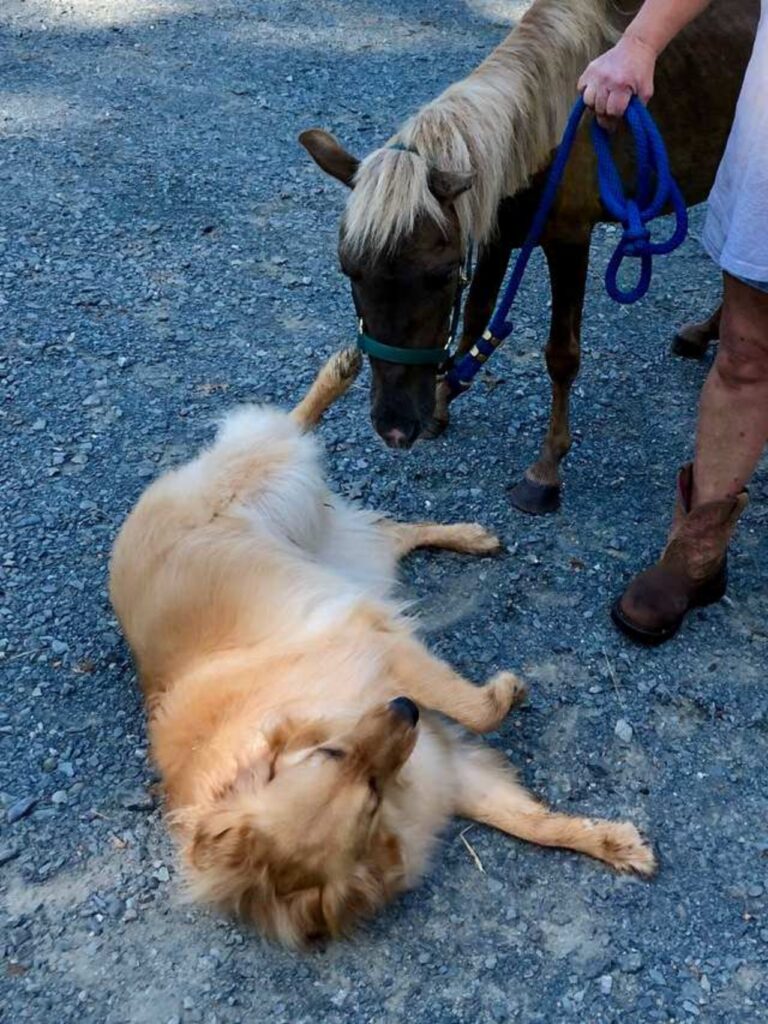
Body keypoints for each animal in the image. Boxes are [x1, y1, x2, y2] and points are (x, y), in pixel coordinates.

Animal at [109, 350, 655, 942]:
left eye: (329, 752)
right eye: (368, 800)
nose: (405, 708)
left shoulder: (384, 650)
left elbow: (477, 711)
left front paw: (507, 692)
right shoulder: (441, 769)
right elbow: (528, 820)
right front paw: (612, 842)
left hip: (268, 482)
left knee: (289, 430)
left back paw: (337, 375)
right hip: (342, 546)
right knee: (392, 532)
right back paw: (468, 535)